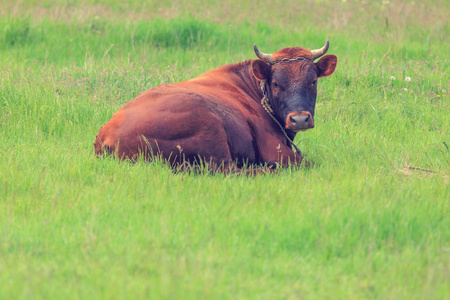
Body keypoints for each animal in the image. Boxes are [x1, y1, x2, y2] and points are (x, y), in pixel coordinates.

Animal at [93, 41, 336, 175]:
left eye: (313, 81)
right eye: (276, 83)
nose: (300, 119)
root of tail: (105, 135)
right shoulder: (275, 151)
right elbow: (308, 163)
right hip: (210, 127)